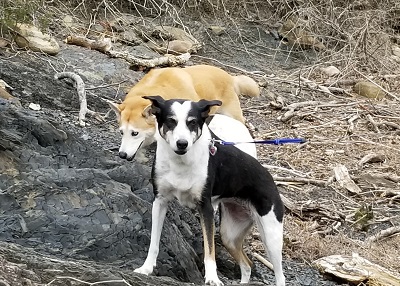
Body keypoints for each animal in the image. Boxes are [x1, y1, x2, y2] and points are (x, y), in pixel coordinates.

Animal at [134, 96, 284, 286]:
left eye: (192, 122)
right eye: (171, 121)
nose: (182, 143)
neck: (181, 162)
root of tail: (269, 176)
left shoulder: (205, 208)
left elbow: (209, 250)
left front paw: (212, 278)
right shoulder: (160, 202)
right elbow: (154, 242)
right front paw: (146, 268)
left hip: (271, 237)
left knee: (280, 275)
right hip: (229, 236)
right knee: (247, 265)